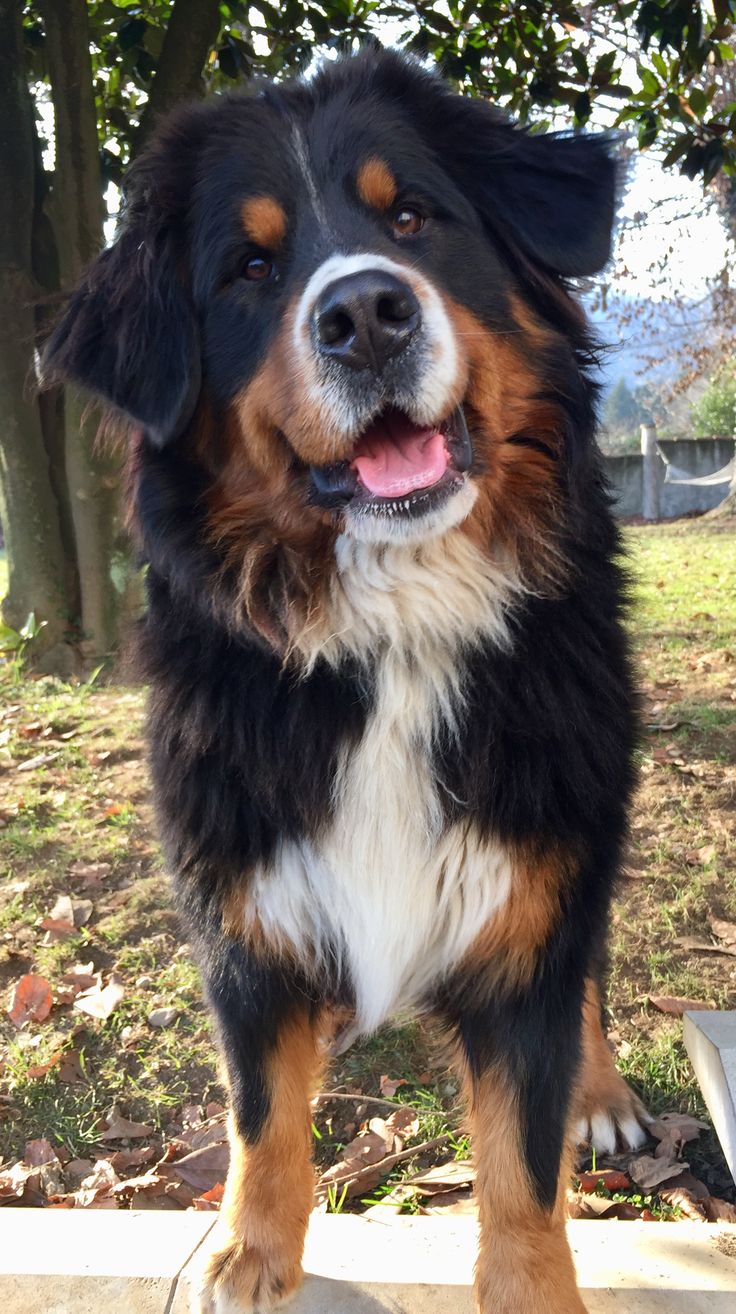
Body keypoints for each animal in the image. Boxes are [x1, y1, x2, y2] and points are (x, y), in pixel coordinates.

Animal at [44, 46, 649, 1314]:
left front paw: (532, 1281)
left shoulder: (532, 879)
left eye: (410, 216)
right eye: (251, 267)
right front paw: (248, 1253)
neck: (387, 632)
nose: (366, 314)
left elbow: (521, 1152)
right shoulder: (242, 897)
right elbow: (260, 1107)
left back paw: (604, 1094)